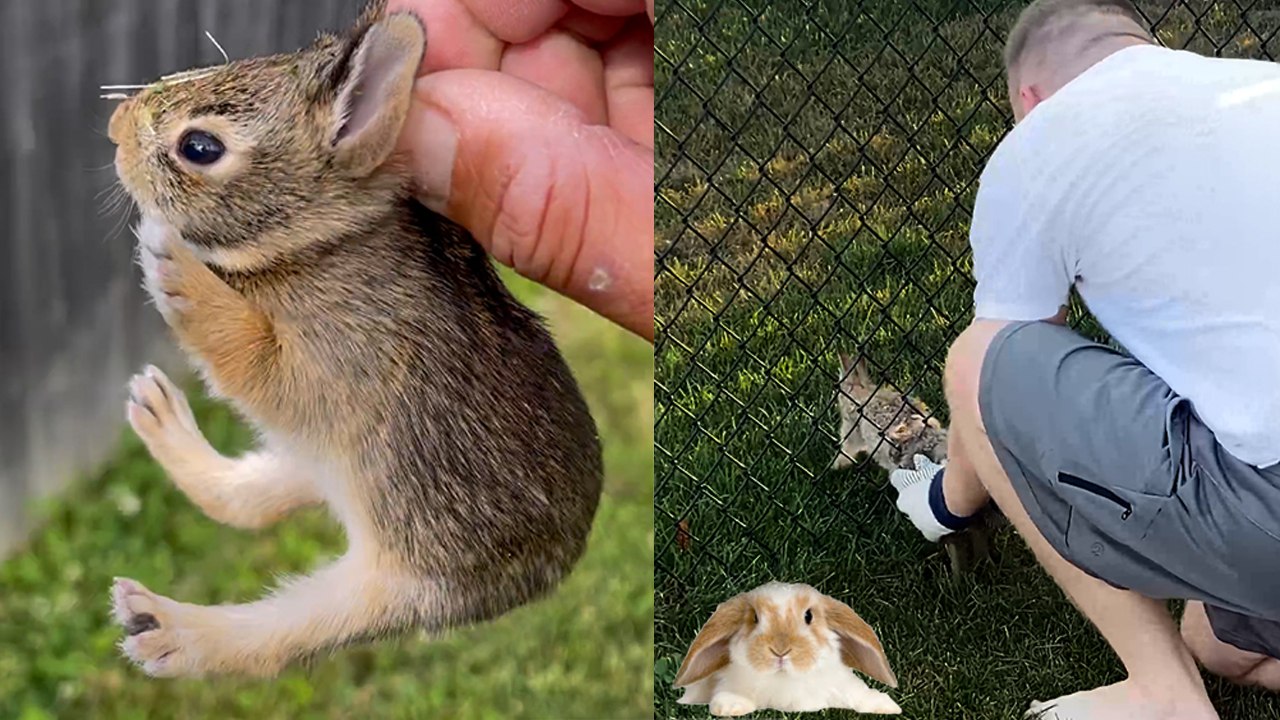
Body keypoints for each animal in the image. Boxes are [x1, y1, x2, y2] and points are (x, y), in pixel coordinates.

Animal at [103, 0, 603, 678]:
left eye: (199, 147)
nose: (114, 127)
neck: (317, 240)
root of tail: (560, 558)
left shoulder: (335, 360)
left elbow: (256, 361)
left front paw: (172, 264)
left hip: (395, 568)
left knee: (281, 634)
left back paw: (158, 625)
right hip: (328, 467)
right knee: (252, 500)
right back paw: (154, 411)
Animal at [673, 581, 902, 716]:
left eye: (808, 616)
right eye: (754, 618)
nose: (780, 650)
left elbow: (856, 694)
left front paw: (887, 706)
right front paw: (729, 706)